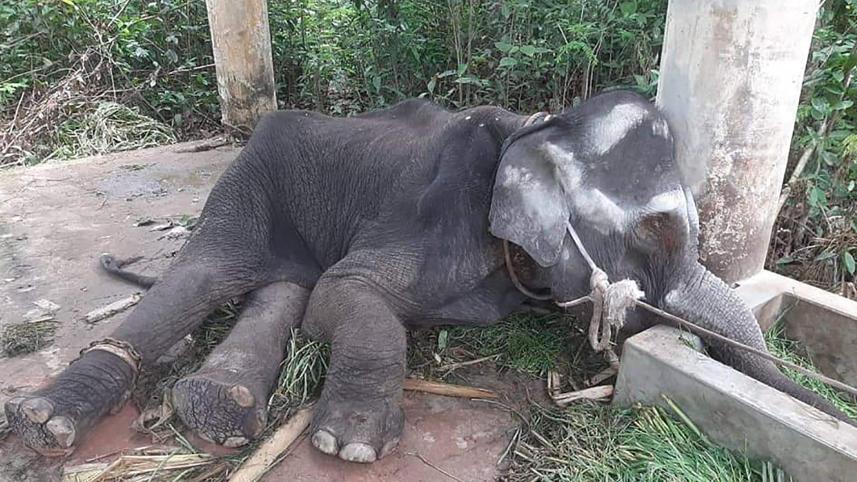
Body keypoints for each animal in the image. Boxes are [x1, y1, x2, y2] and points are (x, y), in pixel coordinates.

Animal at [5, 90, 853, 462]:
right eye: (654, 231)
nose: (831, 406)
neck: (537, 125)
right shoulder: (432, 214)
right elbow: (345, 294)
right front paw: (348, 447)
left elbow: (326, 295)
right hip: (250, 177)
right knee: (210, 273)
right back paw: (50, 425)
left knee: (283, 283)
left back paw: (221, 405)